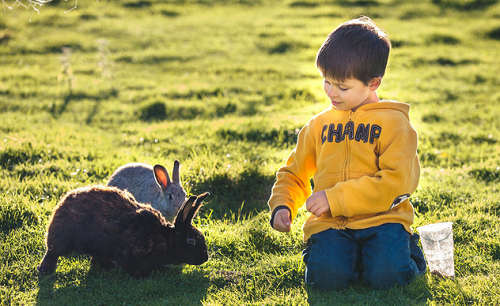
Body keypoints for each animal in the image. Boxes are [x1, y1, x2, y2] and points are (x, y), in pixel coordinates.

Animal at [37, 185, 209, 278]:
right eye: (191, 240)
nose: (205, 258)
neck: (164, 238)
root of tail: (63, 203)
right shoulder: (133, 254)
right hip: (61, 238)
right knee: (52, 252)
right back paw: (45, 269)